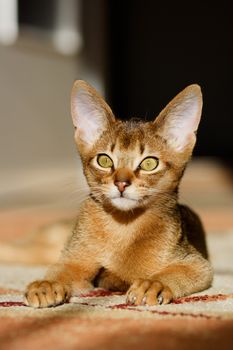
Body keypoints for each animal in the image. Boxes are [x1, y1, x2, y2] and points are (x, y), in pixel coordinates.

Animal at [23, 80, 213, 308]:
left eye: (150, 163)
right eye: (104, 160)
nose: (121, 183)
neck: (122, 228)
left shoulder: (197, 265)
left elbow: (171, 273)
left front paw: (153, 285)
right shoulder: (72, 261)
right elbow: (60, 271)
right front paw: (47, 285)